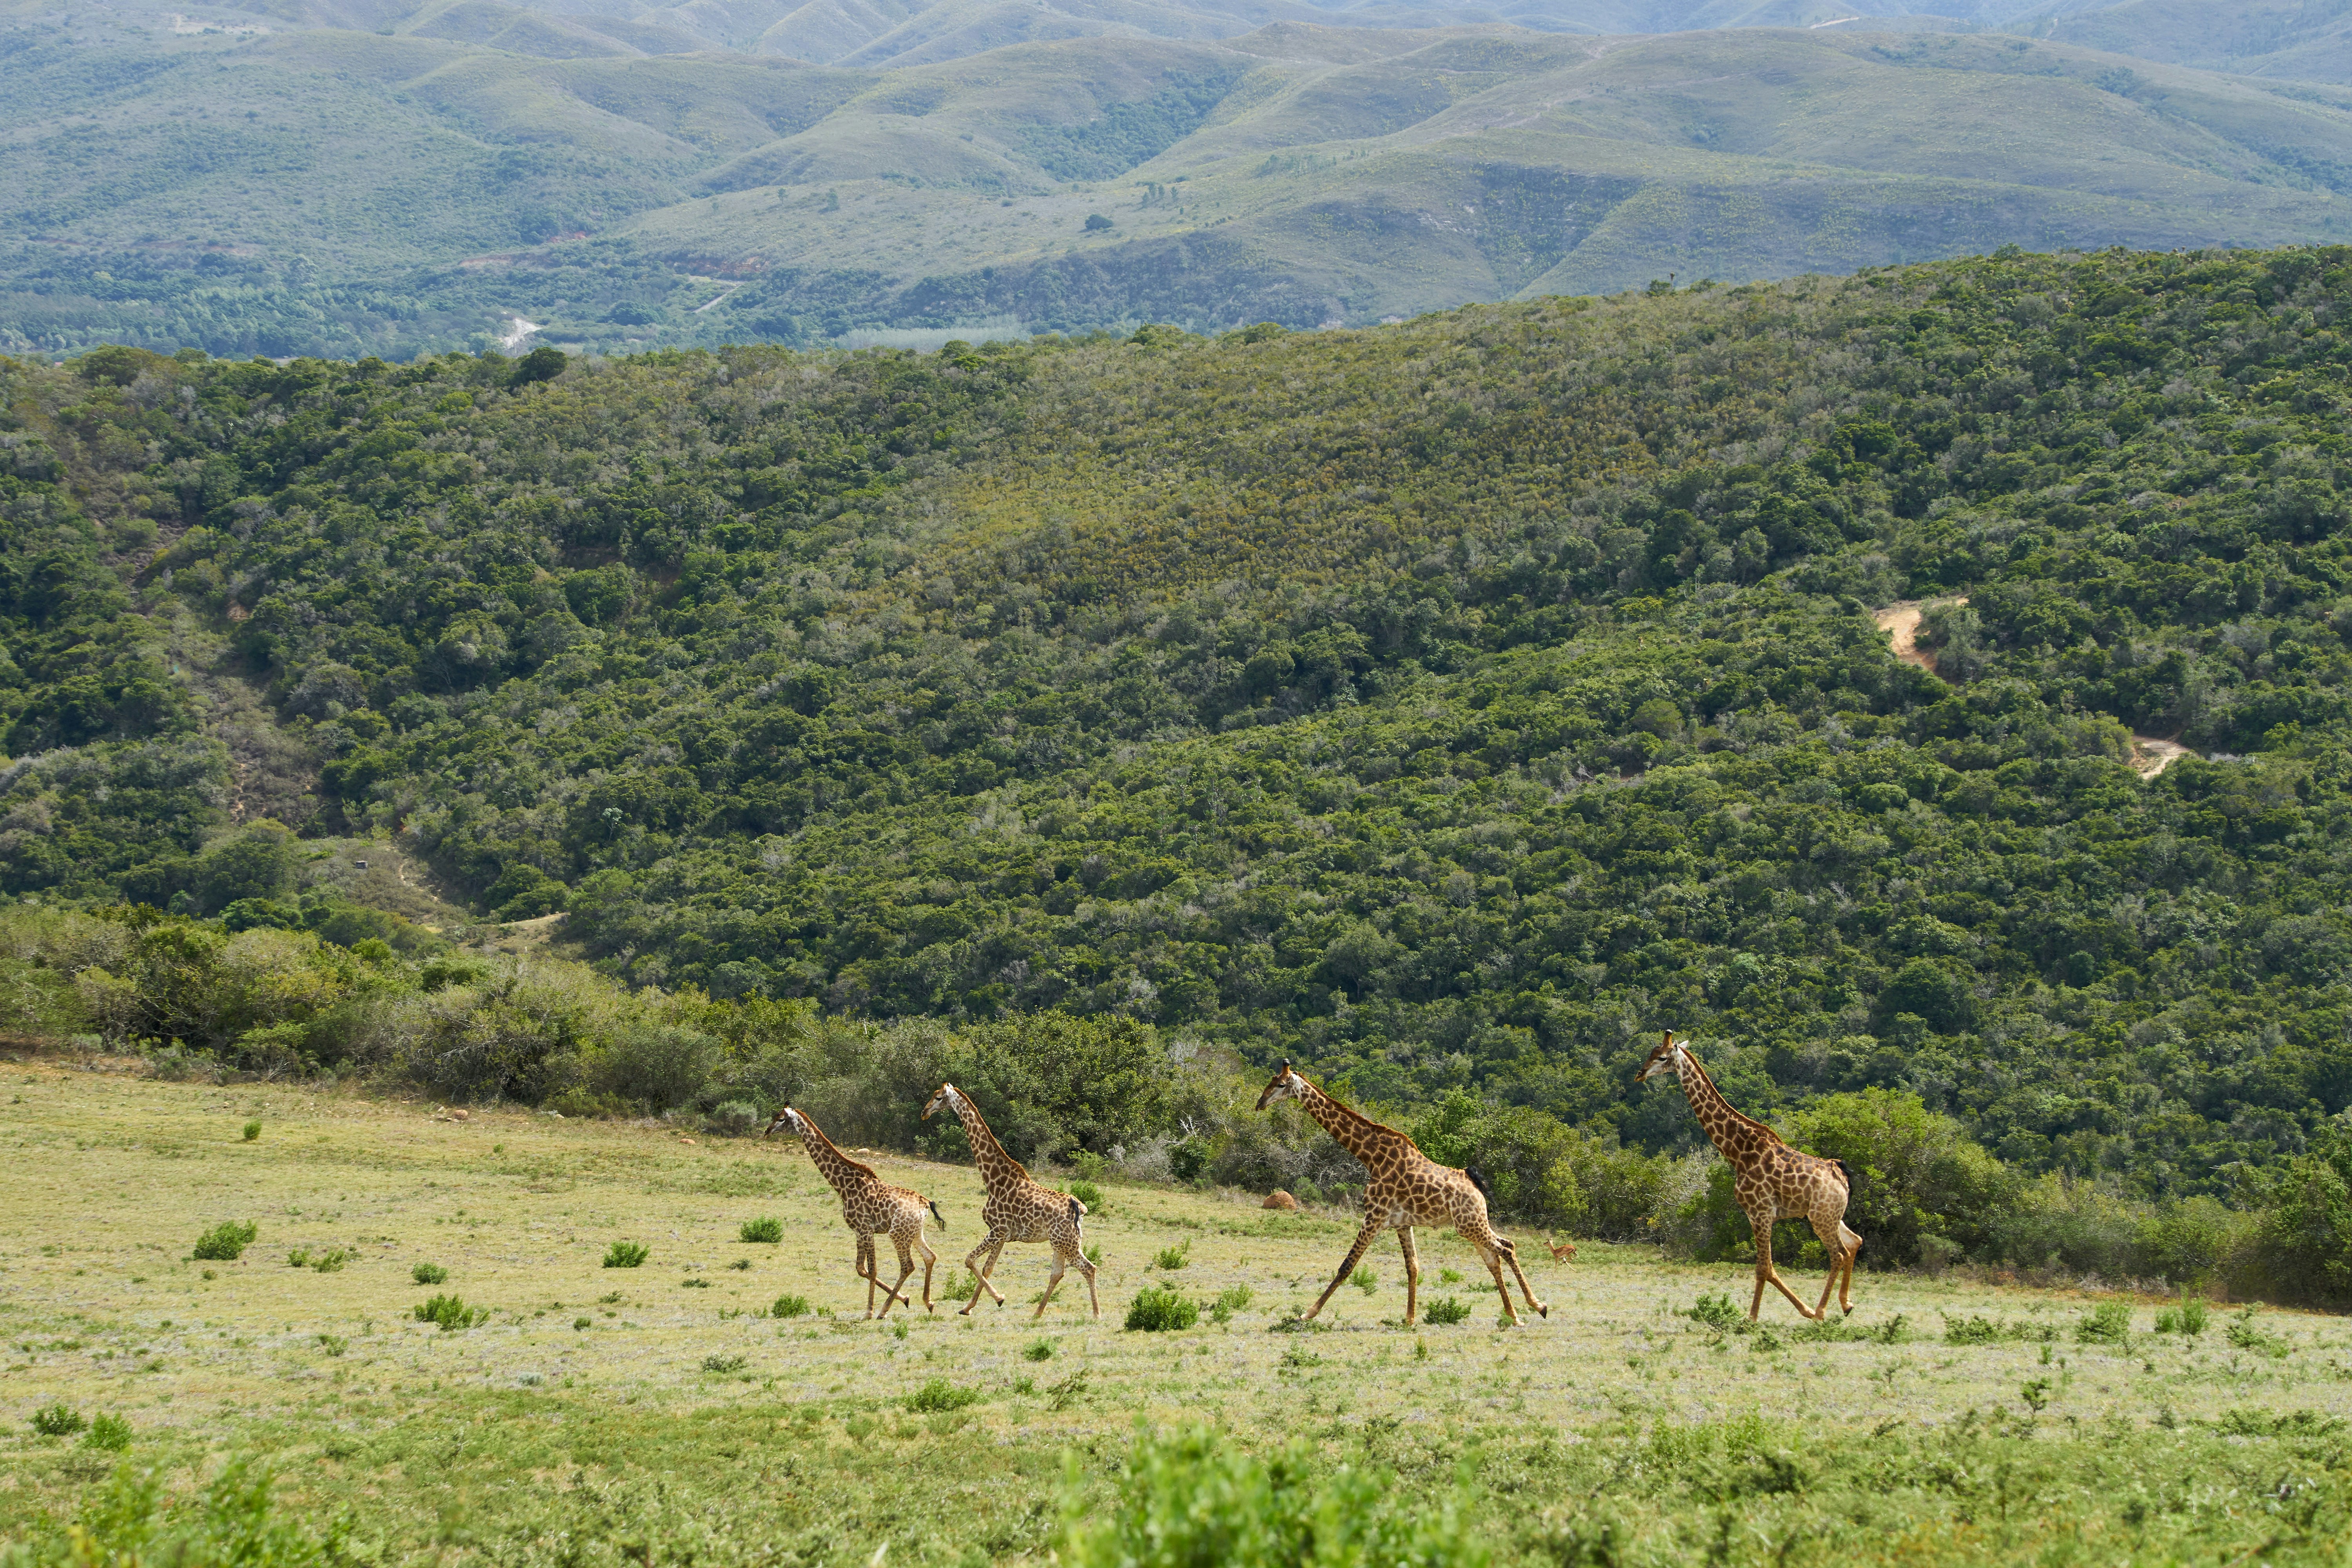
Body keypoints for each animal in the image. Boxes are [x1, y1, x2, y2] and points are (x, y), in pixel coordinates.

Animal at [761, 1106, 944, 1319]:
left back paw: (884, 1310)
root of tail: (925, 1203)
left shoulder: (866, 1229)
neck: (843, 1187)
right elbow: (860, 1269)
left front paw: (869, 1311)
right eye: (775, 1116)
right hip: (914, 1233)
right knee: (930, 1256)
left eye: (782, 1119)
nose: (767, 1132)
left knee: (908, 1266)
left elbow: (872, 1270)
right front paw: (905, 1298)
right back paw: (929, 1303)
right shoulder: (857, 1231)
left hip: (897, 1233)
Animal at [920, 1083, 1099, 1320]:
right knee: (1058, 1273)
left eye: (939, 1097)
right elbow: (987, 1268)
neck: (994, 1180)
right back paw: (1037, 1313)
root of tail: (1080, 1208)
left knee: (1088, 1268)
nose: (924, 1113)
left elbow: (969, 1260)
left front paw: (999, 1298)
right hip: (1061, 1242)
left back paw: (1096, 1315)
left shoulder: (998, 1230)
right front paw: (968, 1307)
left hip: (1065, 1242)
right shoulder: (1002, 1235)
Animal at [1254, 1062, 1547, 1326]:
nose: (1260, 1103)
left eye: (1281, 1085)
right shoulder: (1402, 1224)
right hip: (1473, 1224)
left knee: (1505, 1250)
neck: (1371, 1157)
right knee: (1498, 1253)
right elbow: (1413, 1266)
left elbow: (1347, 1265)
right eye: (1270, 1082)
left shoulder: (1374, 1216)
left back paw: (1538, 1306)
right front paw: (1409, 1319)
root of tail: (1476, 1186)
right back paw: (1515, 1316)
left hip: (1468, 1224)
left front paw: (1308, 1313)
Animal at [1635, 1030, 1861, 1321]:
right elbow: (1768, 1268)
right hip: (1829, 1215)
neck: (1738, 1152)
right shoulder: (1760, 1215)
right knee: (1854, 1242)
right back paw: (1846, 1304)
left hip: (1821, 1218)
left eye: (1662, 1057)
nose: (1640, 1074)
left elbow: (1764, 1268)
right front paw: (1800, 1309)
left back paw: (1822, 1311)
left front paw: (1754, 1318)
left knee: (1839, 1254)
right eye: (1651, 1053)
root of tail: (1841, 1176)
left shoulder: (1760, 1212)